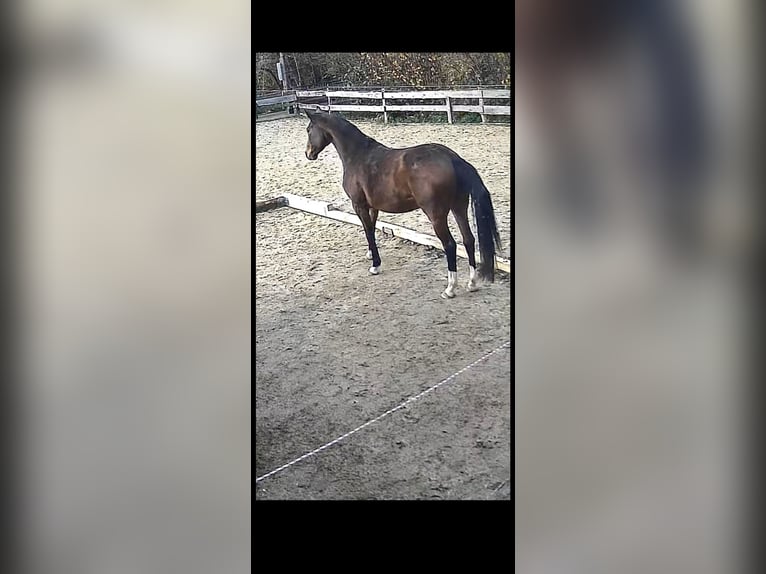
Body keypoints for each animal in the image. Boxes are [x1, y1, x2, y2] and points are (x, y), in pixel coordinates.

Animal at [304, 108, 502, 299]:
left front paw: (375, 265)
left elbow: (367, 230)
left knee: (450, 245)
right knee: (469, 240)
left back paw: (450, 289)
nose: (308, 154)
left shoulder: (358, 205)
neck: (358, 155)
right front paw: (371, 254)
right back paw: (472, 283)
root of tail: (453, 158)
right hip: (459, 208)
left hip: (436, 216)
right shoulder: (373, 207)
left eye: (308, 130)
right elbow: (371, 230)